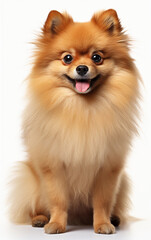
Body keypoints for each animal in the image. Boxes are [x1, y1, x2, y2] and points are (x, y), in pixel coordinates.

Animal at [8, 9, 140, 234]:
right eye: (67, 58)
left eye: (97, 57)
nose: (82, 68)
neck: (82, 109)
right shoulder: (53, 167)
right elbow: (58, 200)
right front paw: (56, 224)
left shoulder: (108, 168)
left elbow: (103, 201)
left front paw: (102, 224)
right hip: (30, 179)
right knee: (35, 206)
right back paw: (40, 219)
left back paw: (114, 219)